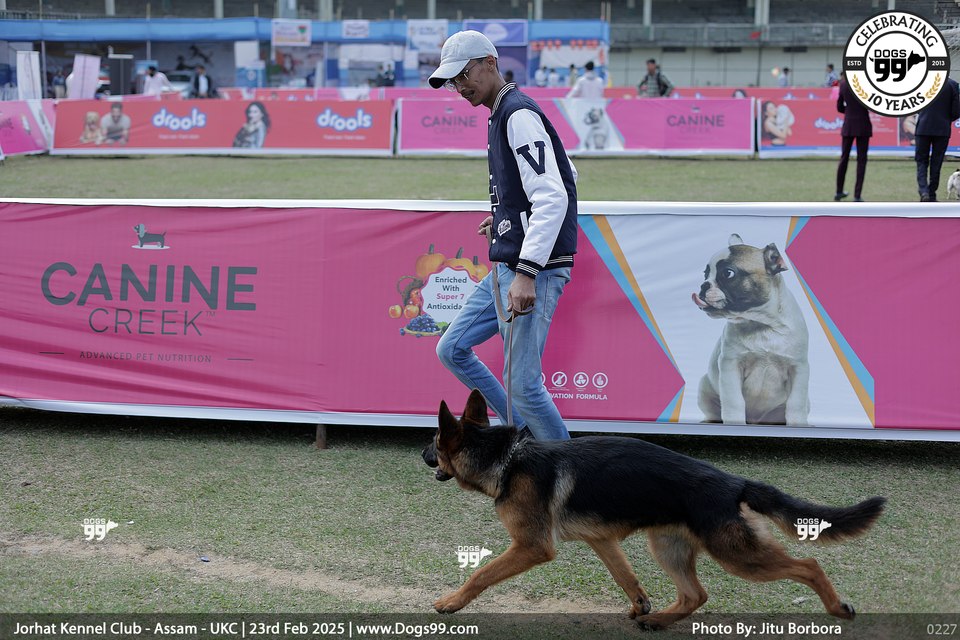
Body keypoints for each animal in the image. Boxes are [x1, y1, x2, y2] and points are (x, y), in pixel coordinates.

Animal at [422, 391, 885, 629]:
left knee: (808, 565)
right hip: (667, 547)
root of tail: (734, 482)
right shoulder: (602, 540)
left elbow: (481, 574)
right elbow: (625, 577)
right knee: (696, 594)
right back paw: (659, 620)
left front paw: (451, 602)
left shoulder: (532, 547)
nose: (422, 455)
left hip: (738, 556)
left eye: (434, 442)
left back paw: (836, 607)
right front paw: (640, 605)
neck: (507, 457)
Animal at [693, 234, 810, 425]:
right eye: (705, 274)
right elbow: (734, 402)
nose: (703, 285)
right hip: (704, 388)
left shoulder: (798, 368)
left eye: (728, 273)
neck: (762, 324)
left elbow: (795, 404)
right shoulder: (731, 365)